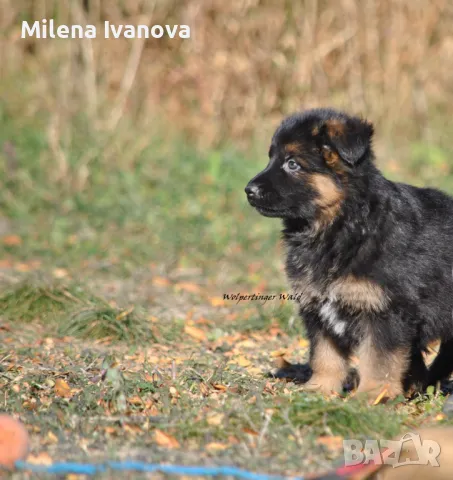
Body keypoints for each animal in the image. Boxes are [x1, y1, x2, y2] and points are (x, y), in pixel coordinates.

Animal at [245, 109, 452, 398]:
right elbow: (325, 356)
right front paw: (319, 390)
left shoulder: (386, 311)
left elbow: (379, 360)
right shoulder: (319, 308)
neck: (344, 223)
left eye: (292, 164)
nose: (248, 190)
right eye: (271, 158)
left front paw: (372, 397)